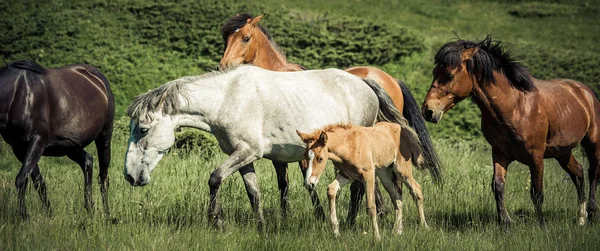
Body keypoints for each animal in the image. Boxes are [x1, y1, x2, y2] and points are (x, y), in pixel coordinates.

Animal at [0, 59, 115, 219]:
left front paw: (24, 216)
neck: (17, 94)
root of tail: (99, 80)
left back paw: (107, 214)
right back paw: (90, 209)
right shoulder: (19, 147)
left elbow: (22, 179)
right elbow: (38, 181)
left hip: (104, 137)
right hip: (70, 145)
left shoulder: (37, 141)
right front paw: (48, 214)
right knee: (87, 161)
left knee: (104, 177)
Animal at [123, 64, 422, 231]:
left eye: (143, 129)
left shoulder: (247, 151)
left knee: (359, 189)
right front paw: (262, 226)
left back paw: (348, 225)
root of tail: (364, 83)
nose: (129, 175)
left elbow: (215, 178)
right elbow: (254, 193)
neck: (228, 97)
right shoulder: (243, 157)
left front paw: (216, 221)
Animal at [219, 12, 440, 225]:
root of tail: (387, 80)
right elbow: (283, 184)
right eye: (226, 38)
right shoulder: (278, 155)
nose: (224, 66)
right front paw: (285, 217)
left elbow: (309, 182)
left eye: (246, 38)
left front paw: (320, 215)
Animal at [298, 121, 428, 241]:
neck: (349, 145)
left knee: (417, 189)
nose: (309, 183)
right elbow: (331, 190)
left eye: (320, 159)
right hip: (384, 174)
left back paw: (424, 226)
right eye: (305, 157)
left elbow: (371, 206)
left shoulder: (368, 175)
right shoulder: (347, 175)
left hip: (401, 170)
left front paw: (377, 238)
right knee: (397, 199)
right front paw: (336, 233)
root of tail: (402, 129)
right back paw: (398, 231)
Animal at [422, 35, 600, 227]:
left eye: (449, 75)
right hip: (562, 152)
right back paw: (581, 218)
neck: (515, 107)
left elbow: (537, 193)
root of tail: (585, 93)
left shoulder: (536, 157)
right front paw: (505, 223)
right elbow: (498, 186)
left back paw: (591, 213)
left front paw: (542, 225)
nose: (428, 111)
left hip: (592, 144)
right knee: (578, 173)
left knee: (592, 173)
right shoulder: (500, 154)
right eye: (434, 72)